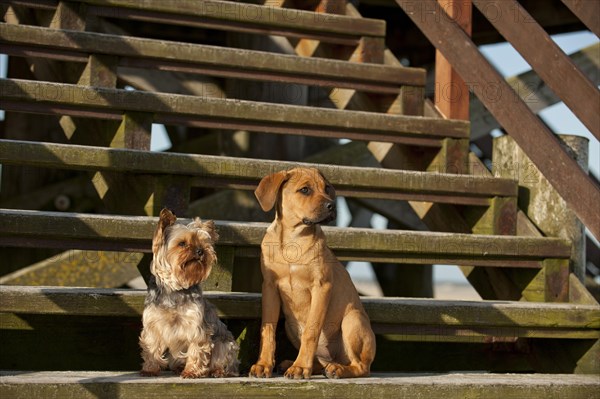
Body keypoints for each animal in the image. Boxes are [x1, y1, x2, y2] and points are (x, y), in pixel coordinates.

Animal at [247, 167, 370, 380]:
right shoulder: (269, 287)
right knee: (321, 362)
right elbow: (268, 329)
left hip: (352, 320)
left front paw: (300, 367)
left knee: (361, 367)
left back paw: (336, 369)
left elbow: (311, 332)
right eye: (305, 190)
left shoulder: (321, 287)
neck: (293, 240)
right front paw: (263, 364)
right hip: (290, 326)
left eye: (327, 188)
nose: (332, 206)